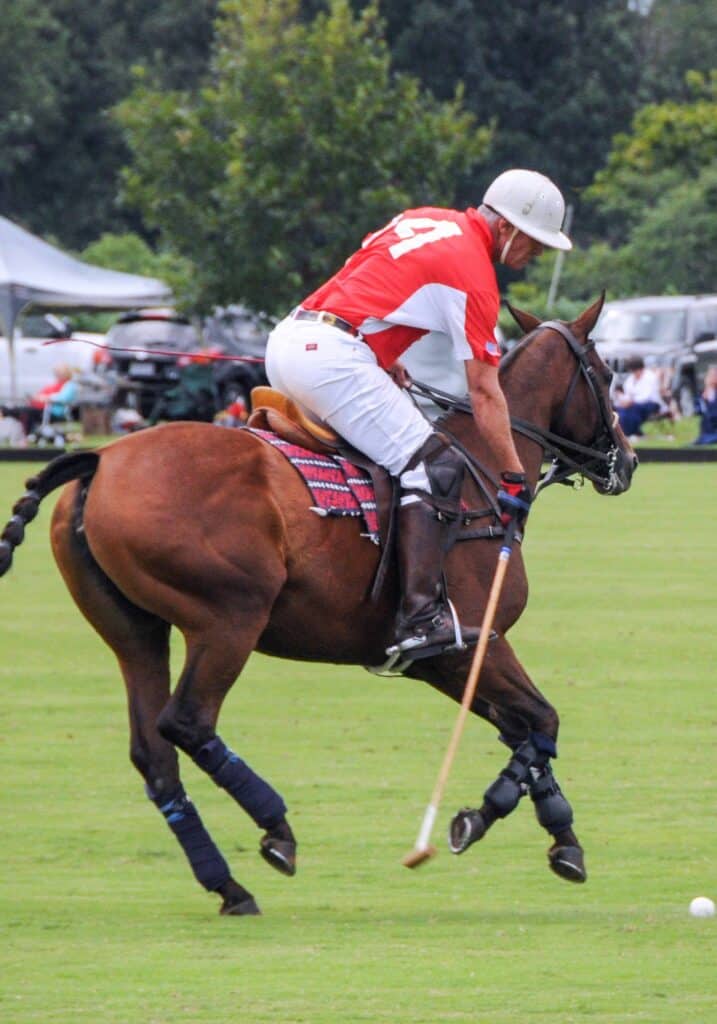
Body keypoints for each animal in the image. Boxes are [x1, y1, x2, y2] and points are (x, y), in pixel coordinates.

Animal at [1, 296, 639, 913]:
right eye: (606, 375)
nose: (628, 462)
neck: (480, 474)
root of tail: (101, 460)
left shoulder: (439, 660)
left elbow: (525, 727)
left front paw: (561, 838)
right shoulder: (472, 641)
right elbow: (541, 719)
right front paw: (478, 817)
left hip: (135, 631)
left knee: (155, 756)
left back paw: (229, 887)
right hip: (229, 617)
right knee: (186, 721)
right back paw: (275, 828)